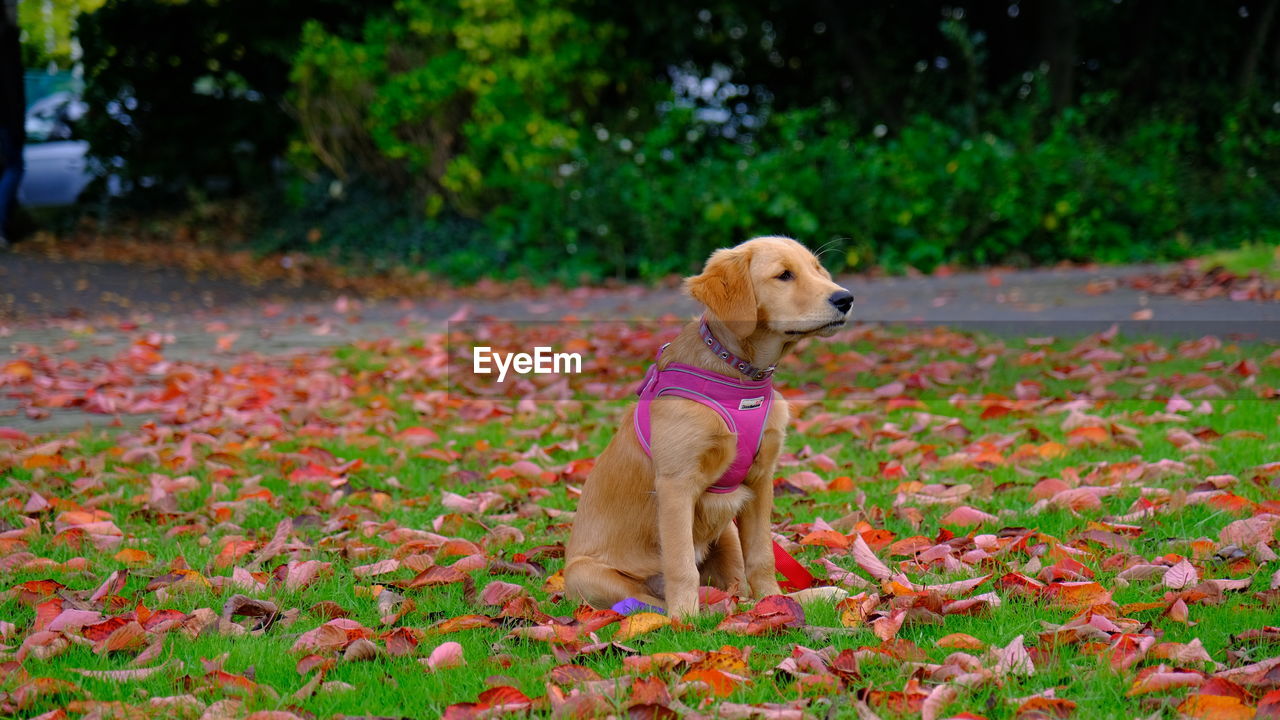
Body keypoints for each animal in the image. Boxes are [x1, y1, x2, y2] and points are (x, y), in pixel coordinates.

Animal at [565, 233, 855, 614]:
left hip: (727, 530)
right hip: (588, 575)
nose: (845, 298)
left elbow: (762, 557)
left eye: (817, 269)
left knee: (739, 591)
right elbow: (680, 563)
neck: (741, 377)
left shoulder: (760, 481)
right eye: (784, 275)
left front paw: (775, 600)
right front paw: (685, 618)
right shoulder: (676, 485)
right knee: (649, 599)